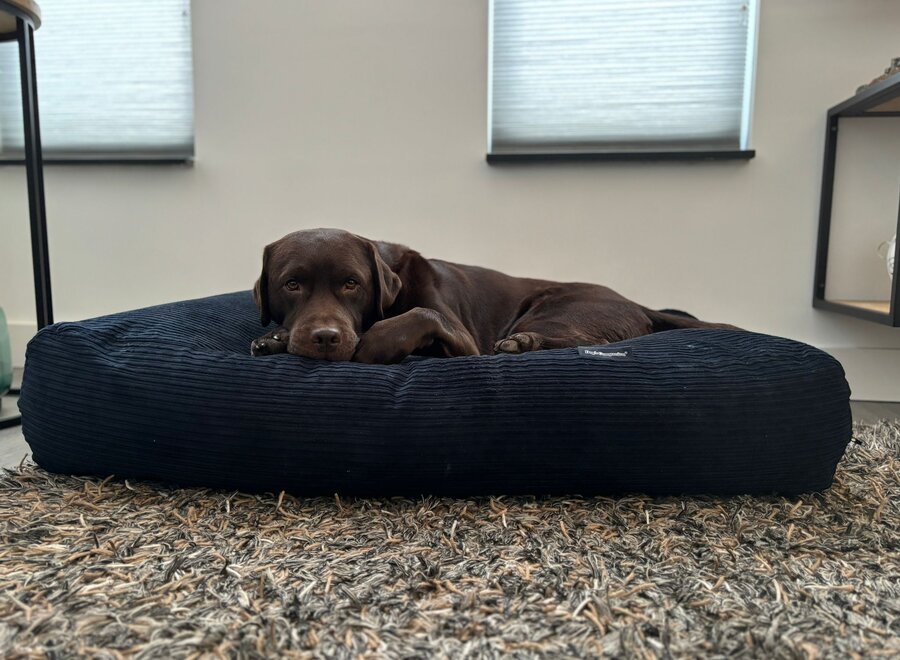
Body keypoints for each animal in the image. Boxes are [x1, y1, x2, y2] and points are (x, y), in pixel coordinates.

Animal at [248, 226, 740, 360]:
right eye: (292, 284)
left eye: (352, 283)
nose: (326, 338)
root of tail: (637, 303)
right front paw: (273, 338)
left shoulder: (465, 341)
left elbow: (423, 315)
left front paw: (374, 343)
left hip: (556, 308)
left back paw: (522, 343)